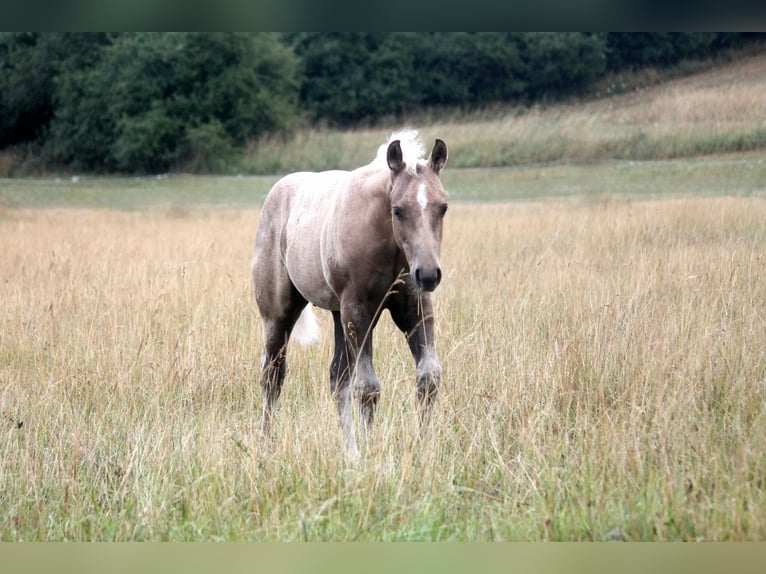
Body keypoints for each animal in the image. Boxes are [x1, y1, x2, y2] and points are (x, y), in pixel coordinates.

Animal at [252, 130, 448, 460]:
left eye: (443, 207)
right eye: (398, 210)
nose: (429, 274)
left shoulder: (414, 308)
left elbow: (428, 377)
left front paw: (423, 448)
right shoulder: (358, 311)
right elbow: (368, 387)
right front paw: (371, 453)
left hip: (338, 315)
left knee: (336, 380)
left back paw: (350, 453)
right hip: (279, 316)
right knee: (273, 374)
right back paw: (266, 449)